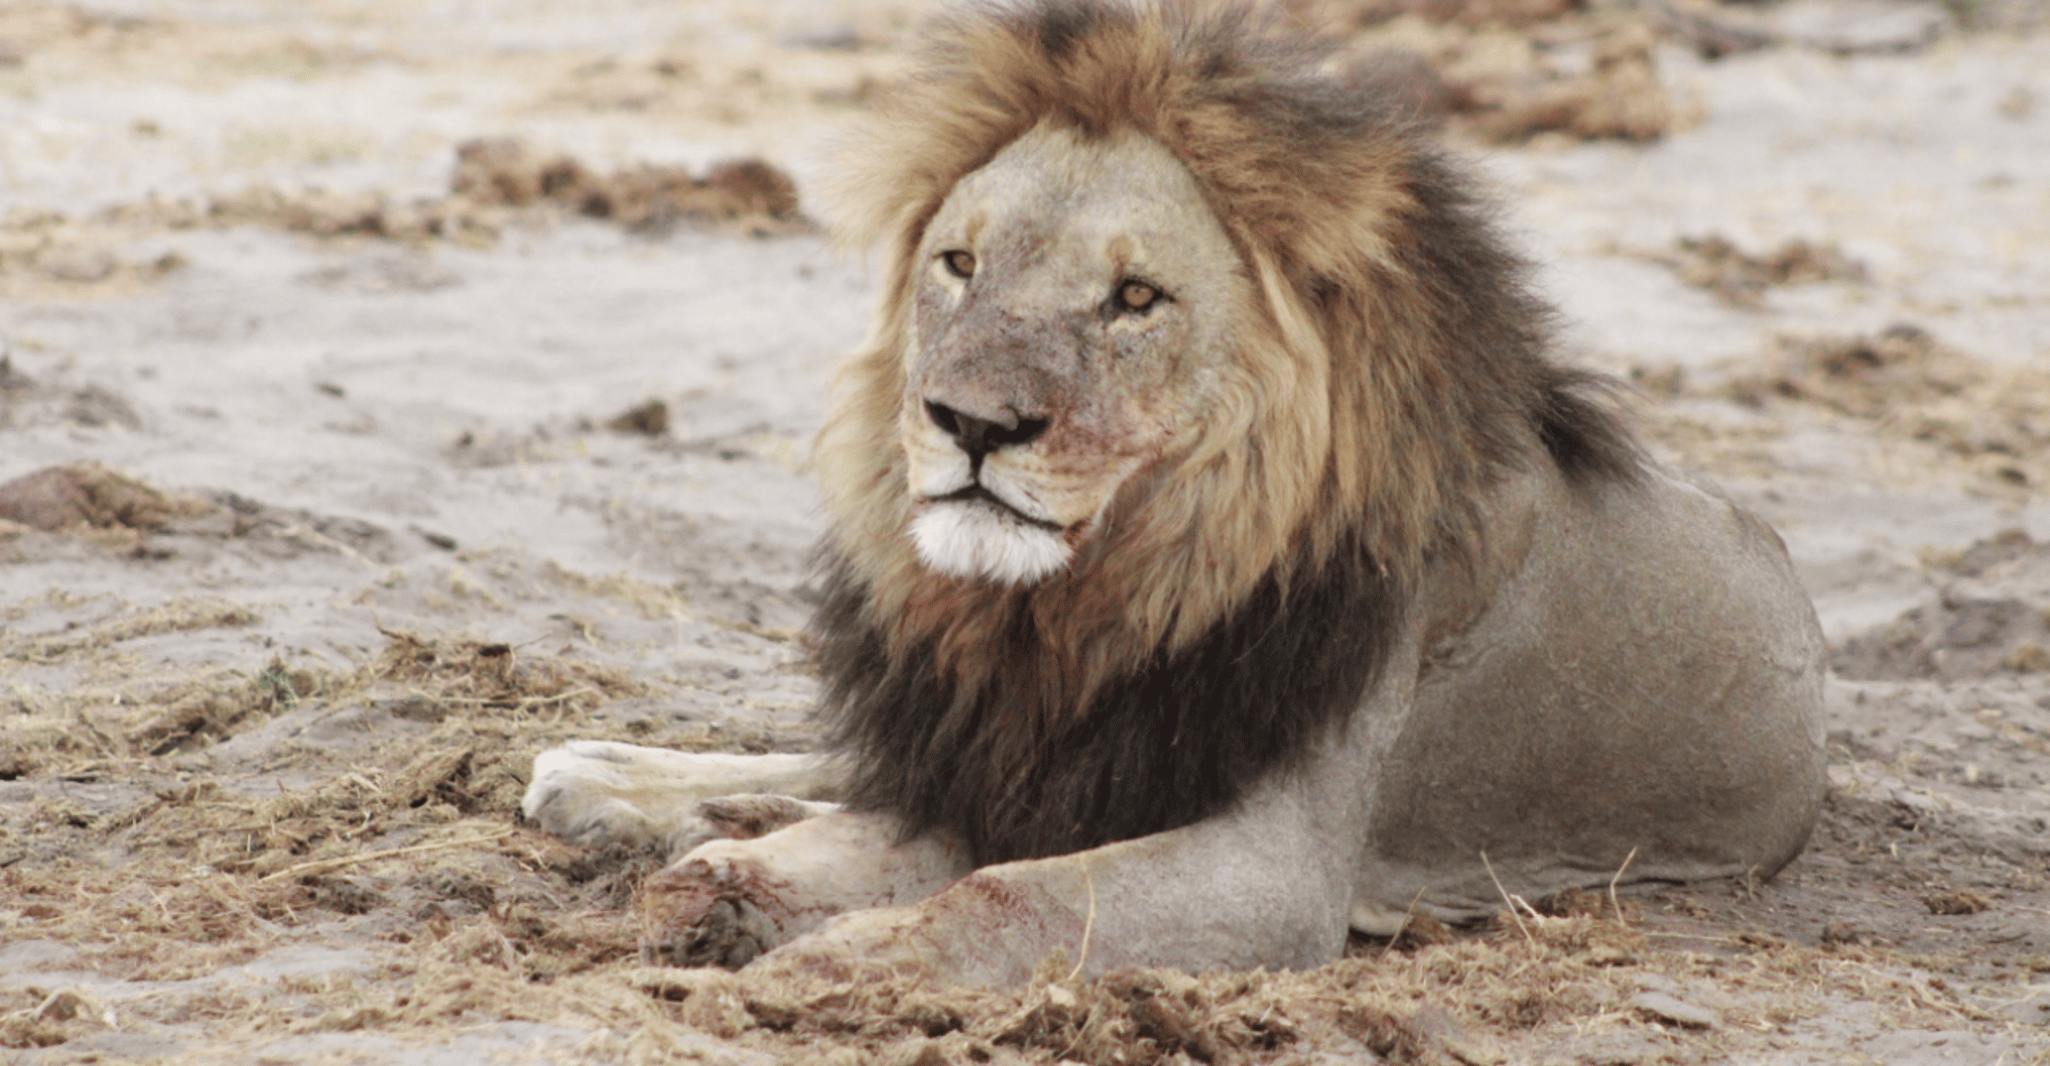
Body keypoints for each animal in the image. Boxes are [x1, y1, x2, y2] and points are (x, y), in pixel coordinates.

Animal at [524, 0, 1828, 988]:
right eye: (960, 264)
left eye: (1135, 299)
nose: (972, 425)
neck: (1091, 601)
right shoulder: (1023, 756)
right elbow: (883, 827)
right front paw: (717, 881)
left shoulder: (1277, 867)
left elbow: (1010, 897)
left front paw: (844, 960)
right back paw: (615, 779)